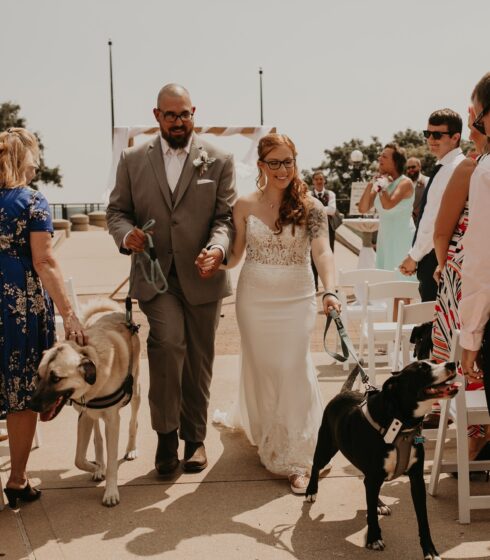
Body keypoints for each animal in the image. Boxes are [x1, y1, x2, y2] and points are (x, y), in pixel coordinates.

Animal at [306, 360, 460, 556]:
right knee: (316, 465)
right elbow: (371, 514)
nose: (452, 363)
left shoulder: (416, 479)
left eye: (434, 361)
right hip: (326, 446)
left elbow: (423, 520)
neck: (400, 425)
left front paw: (430, 550)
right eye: (422, 368)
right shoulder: (374, 476)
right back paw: (311, 491)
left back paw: (379, 503)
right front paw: (373, 539)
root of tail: (343, 392)